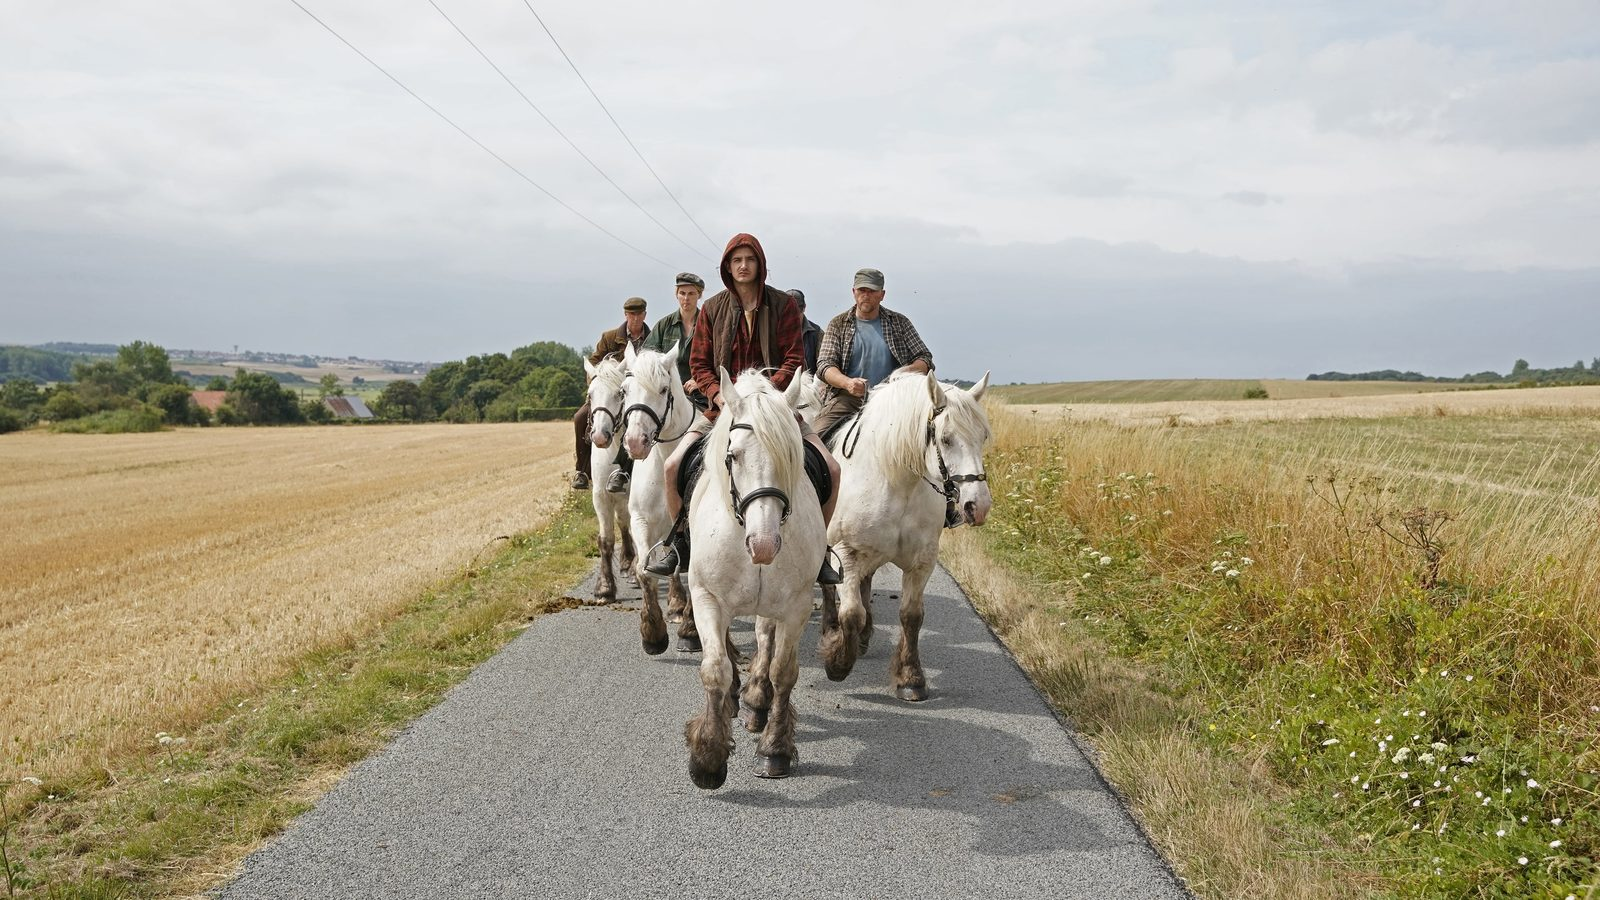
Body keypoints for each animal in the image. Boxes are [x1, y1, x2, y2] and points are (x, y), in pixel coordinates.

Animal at [620, 342, 704, 650]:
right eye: (624, 390)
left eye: (663, 389)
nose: (635, 442)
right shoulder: (641, 521)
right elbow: (644, 572)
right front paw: (653, 633)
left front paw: (690, 631)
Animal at [681, 366, 825, 784]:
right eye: (733, 456)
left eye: (792, 456)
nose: (764, 544)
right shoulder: (707, 597)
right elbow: (714, 668)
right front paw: (708, 757)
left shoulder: (796, 605)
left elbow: (783, 671)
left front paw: (774, 748)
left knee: (764, 638)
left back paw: (757, 701)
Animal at [819, 368, 992, 698]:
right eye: (946, 439)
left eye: (984, 437)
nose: (978, 506)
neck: (897, 482)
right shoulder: (846, 553)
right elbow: (851, 613)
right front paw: (837, 663)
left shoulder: (922, 560)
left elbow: (911, 616)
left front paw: (911, 678)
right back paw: (830, 629)